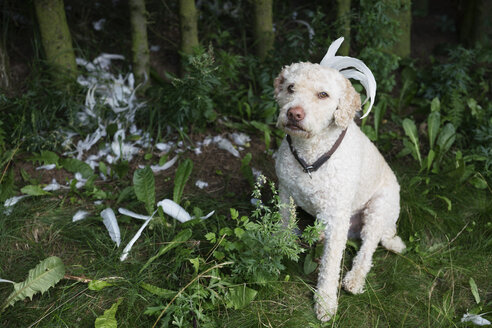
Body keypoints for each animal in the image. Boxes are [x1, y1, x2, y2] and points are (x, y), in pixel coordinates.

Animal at [274, 50, 406, 322]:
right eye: (291, 87)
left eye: (323, 94)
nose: (294, 114)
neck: (311, 154)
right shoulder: (285, 192)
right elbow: (284, 226)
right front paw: (280, 248)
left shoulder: (337, 215)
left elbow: (330, 265)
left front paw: (325, 301)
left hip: (378, 211)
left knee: (367, 250)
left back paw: (354, 280)